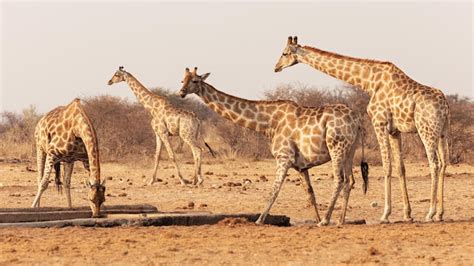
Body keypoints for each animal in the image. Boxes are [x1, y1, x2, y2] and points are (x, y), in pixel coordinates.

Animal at [180, 66, 368, 224]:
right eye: (183, 80)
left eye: (195, 81)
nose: (181, 93)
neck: (268, 123)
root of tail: (357, 120)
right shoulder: (301, 166)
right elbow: (310, 194)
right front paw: (316, 218)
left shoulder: (284, 157)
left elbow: (274, 191)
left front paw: (260, 220)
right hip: (350, 150)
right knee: (349, 180)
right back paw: (340, 220)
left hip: (336, 146)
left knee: (339, 179)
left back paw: (327, 220)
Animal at [274, 35, 448, 222]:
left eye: (284, 53)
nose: (276, 67)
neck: (369, 81)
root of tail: (445, 106)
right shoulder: (395, 130)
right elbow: (400, 168)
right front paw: (407, 214)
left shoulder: (379, 122)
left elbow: (387, 166)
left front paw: (385, 214)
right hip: (443, 132)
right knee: (444, 163)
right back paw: (440, 213)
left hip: (426, 130)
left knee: (434, 164)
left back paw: (430, 213)